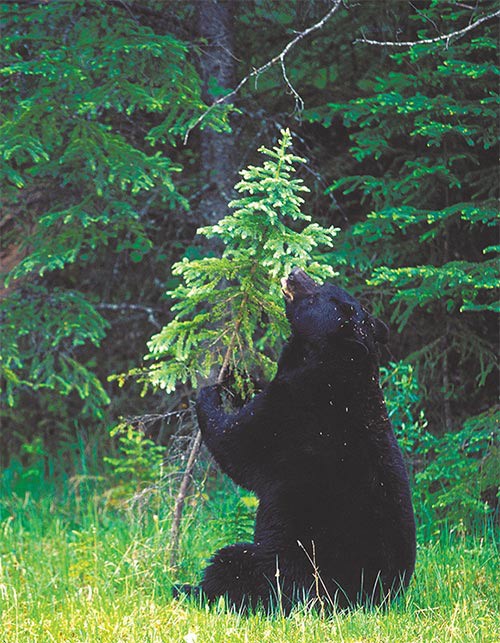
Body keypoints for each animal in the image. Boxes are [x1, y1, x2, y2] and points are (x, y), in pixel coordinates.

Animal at [182, 266, 416, 612]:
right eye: (324, 283)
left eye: (317, 294)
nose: (295, 271)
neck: (332, 366)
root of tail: (366, 601)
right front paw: (238, 376)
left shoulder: (292, 411)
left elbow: (238, 445)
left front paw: (208, 392)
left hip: (285, 568)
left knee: (232, 563)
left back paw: (189, 589)